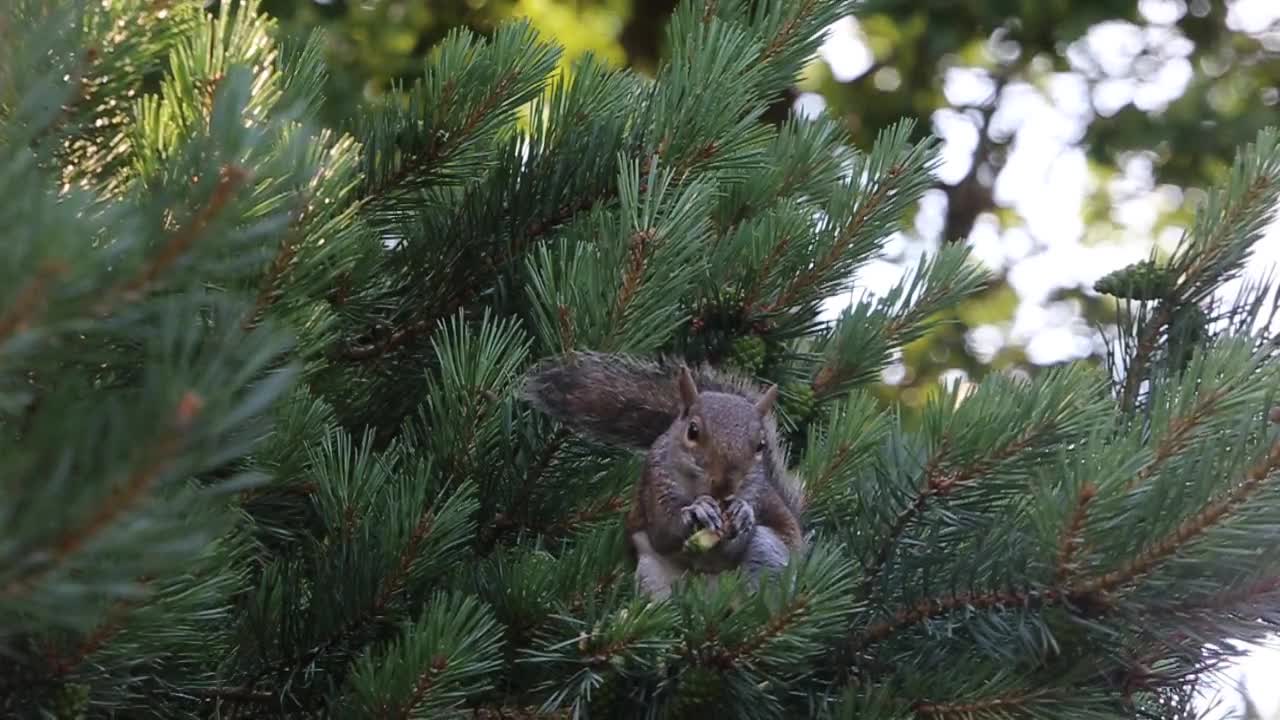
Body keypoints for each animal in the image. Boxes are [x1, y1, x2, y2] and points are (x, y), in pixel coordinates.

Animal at [517, 351, 798, 597]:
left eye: (760, 445)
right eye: (692, 431)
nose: (725, 486)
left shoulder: (756, 493)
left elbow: (731, 548)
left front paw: (742, 512)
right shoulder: (656, 480)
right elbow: (664, 531)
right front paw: (697, 511)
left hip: (768, 553)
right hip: (652, 572)